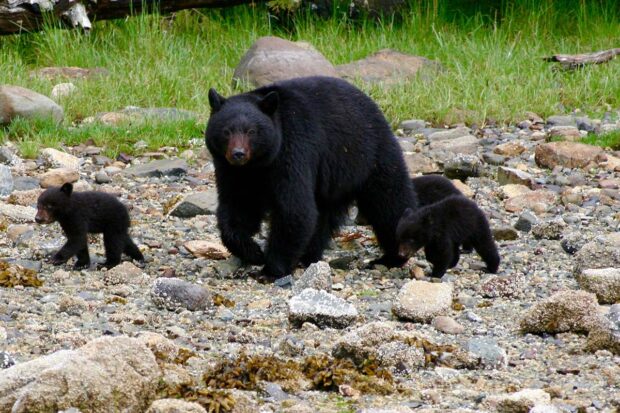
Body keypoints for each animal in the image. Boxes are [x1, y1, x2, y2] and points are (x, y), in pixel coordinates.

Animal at [207, 75, 416, 278]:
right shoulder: (232, 171)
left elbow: (294, 208)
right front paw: (253, 252)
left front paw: (270, 270)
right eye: (226, 131)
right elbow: (237, 207)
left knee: (390, 204)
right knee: (323, 216)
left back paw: (391, 258)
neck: (257, 166)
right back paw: (309, 256)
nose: (238, 154)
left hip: (370, 156)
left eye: (251, 131)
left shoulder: (293, 149)